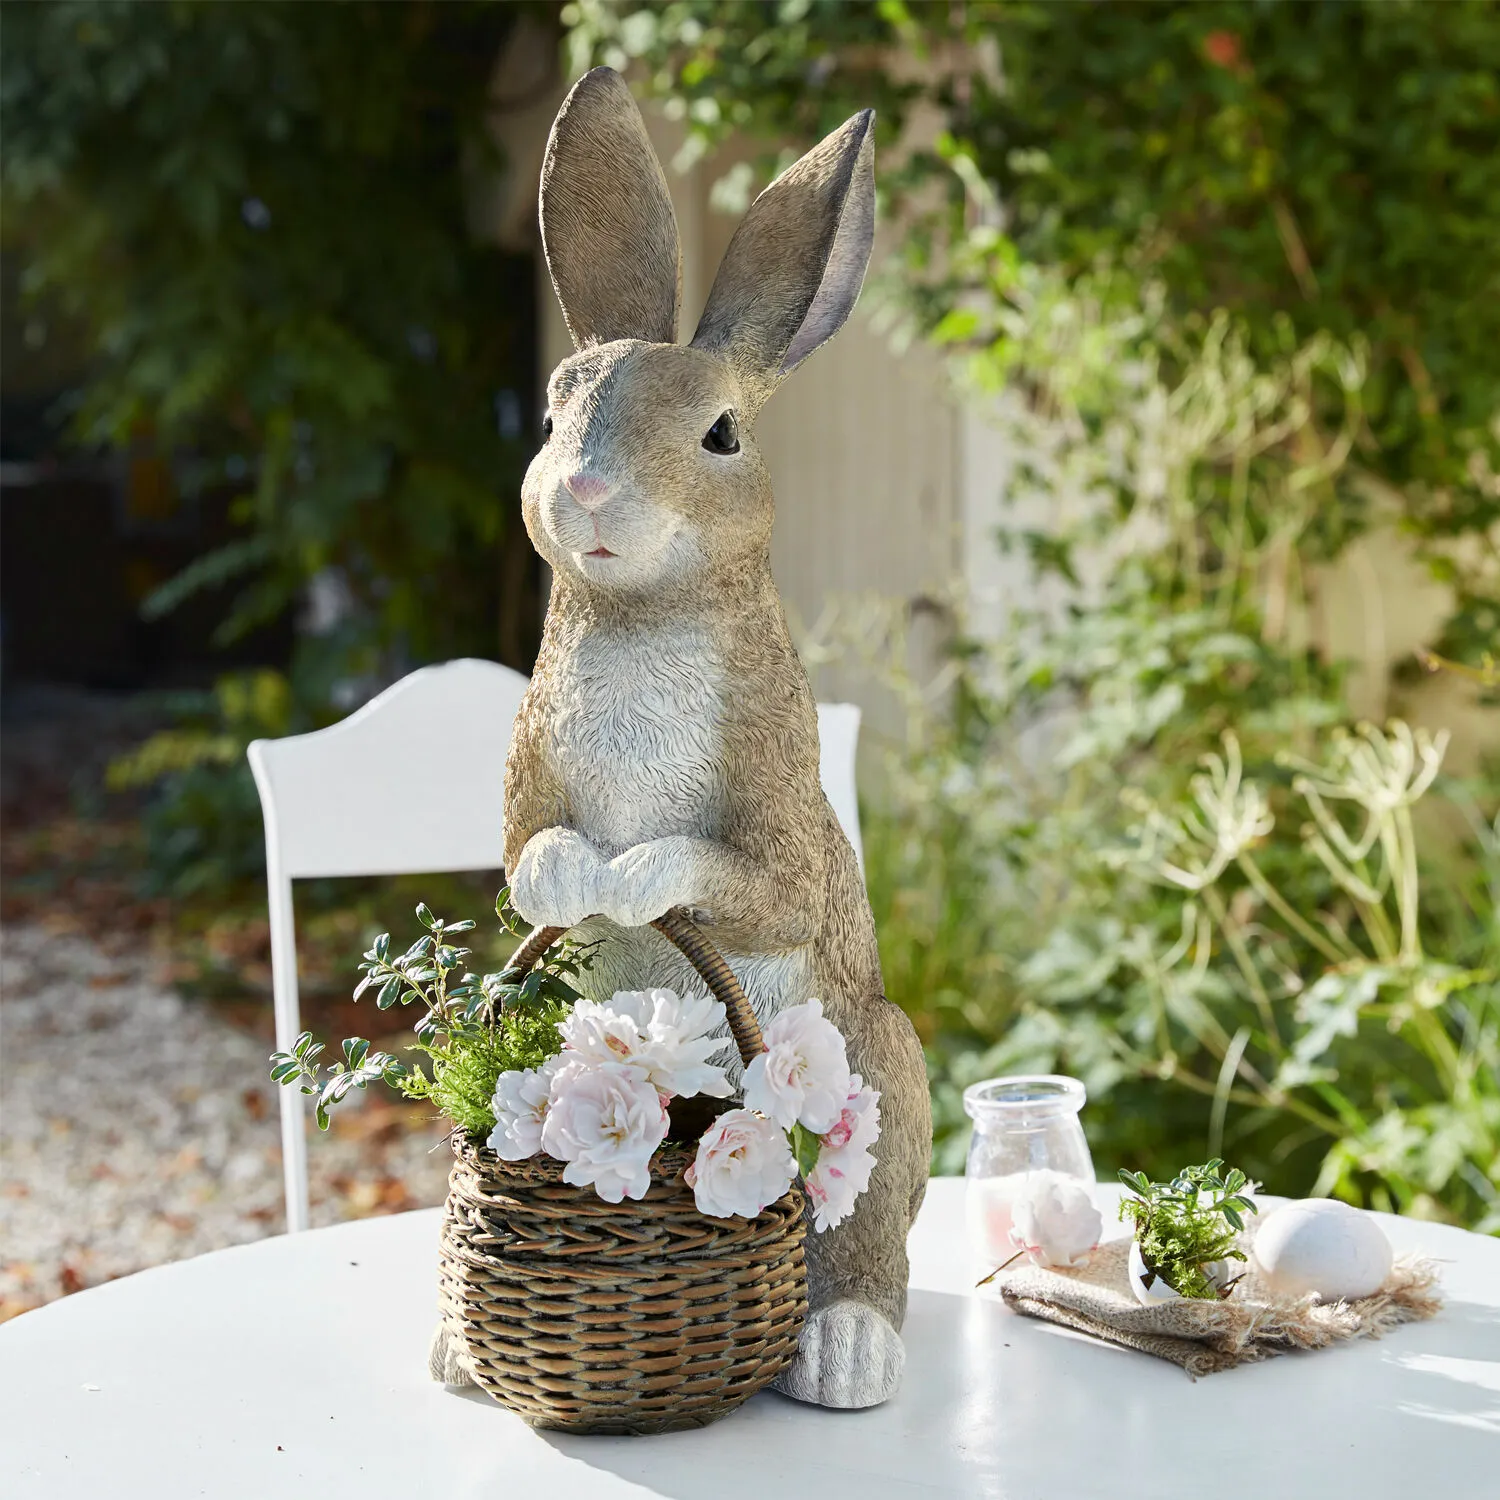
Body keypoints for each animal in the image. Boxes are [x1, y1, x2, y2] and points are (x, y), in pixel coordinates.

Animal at [431, 66, 931, 1411]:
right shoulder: (527, 774)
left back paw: (845, 1351)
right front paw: (577, 878)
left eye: (720, 435)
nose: (587, 494)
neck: (643, 618)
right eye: (554, 417)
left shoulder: (779, 811)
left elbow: (752, 882)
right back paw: (455, 1354)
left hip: (888, 1076)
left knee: (869, 1240)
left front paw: (632, 876)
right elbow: (525, 861)